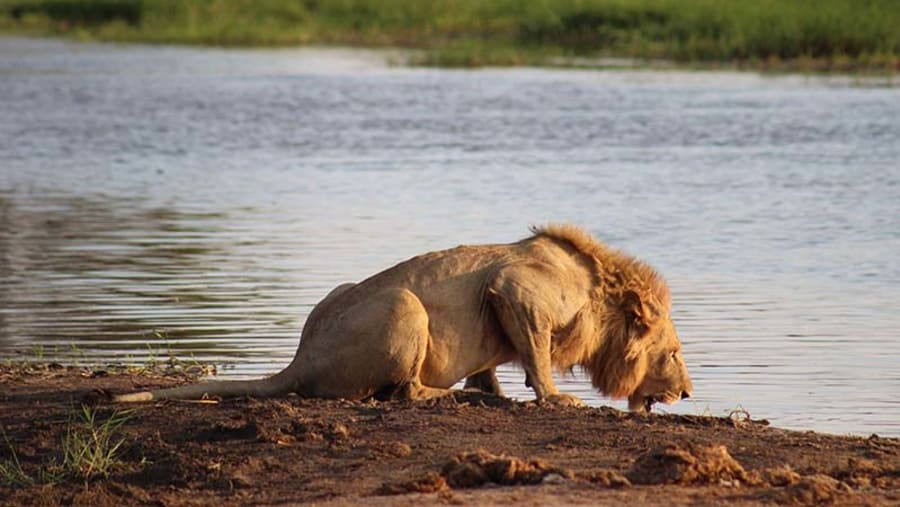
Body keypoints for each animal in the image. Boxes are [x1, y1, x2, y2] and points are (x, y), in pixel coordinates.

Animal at [113, 224, 693, 412]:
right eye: (674, 353)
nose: (688, 393)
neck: (603, 298)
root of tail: (300, 360)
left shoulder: (498, 308)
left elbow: (493, 363)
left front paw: (494, 390)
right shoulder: (517, 289)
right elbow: (538, 355)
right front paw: (553, 398)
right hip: (405, 306)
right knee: (404, 392)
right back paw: (452, 396)